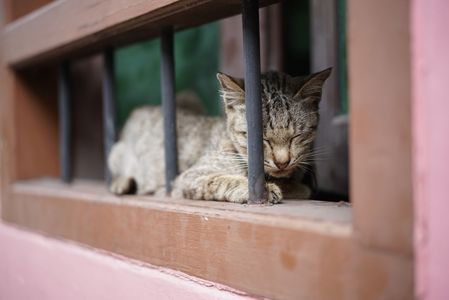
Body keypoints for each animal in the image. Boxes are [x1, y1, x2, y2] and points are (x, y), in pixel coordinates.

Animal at [107, 68, 332, 204]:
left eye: (297, 136)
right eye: (261, 139)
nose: (282, 162)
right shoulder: (186, 178)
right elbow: (220, 180)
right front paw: (265, 189)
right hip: (116, 153)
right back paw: (122, 183)